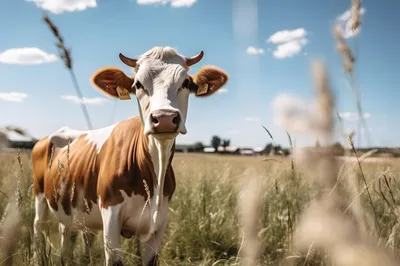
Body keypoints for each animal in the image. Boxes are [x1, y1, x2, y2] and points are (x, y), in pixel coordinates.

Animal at [32, 46, 228, 264]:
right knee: (38, 228)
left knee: (67, 233)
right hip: (40, 197)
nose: (164, 118)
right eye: (138, 84)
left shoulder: (159, 224)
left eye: (186, 82)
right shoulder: (110, 218)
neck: (155, 173)